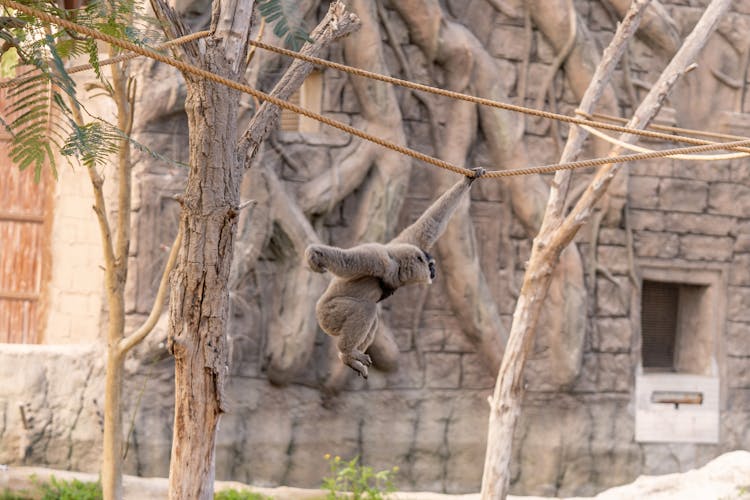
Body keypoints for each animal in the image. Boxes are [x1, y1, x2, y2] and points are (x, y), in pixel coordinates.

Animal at [306, 166, 488, 376]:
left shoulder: (407, 242)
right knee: (366, 308)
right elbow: (349, 260)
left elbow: (430, 223)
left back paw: (347, 358)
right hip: (329, 315)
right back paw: (348, 352)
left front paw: (469, 179)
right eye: (431, 265)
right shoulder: (379, 259)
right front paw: (314, 255)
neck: (397, 266)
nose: (434, 271)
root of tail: (319, 311)